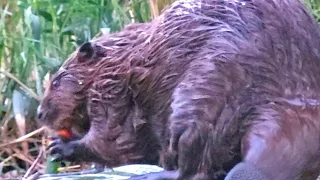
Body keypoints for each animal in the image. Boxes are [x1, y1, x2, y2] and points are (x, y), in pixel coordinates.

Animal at [37, 0, 320, 179]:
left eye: (57, 81)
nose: (39, 113)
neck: (125, 58)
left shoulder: (112, 92)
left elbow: (115, 138)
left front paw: (60, 147)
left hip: (200, 92)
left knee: (193, 169)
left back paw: (153, 175)